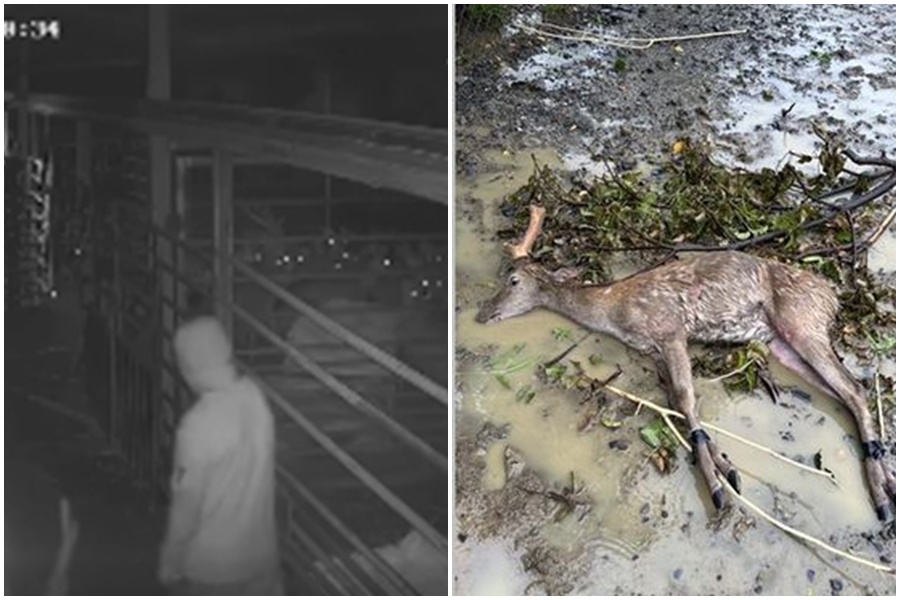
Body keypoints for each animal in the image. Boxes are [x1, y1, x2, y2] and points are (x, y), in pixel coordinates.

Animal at [476, 204, 896, 522]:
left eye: (513, 280)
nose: (482, 314)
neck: (613, 310)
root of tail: (832, 297)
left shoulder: (670, 329)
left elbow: (685, 398)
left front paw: (718, 486)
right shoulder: (653, 350)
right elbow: (677, 402)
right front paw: (726, 465)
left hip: (802, 323)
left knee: (854, 389)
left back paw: (881, 497)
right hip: (782, 346)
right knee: (848, 392)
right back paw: (887, 476)